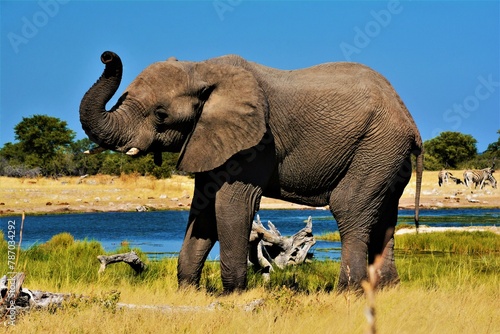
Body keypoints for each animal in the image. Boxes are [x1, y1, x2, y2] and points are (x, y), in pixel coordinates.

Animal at [79, 51, 422, 292]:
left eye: (161, 115)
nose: (107, 55)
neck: (202, 69)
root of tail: (410, 120)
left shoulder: (256, 143)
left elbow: (232, 206)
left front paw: (234, 295)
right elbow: (203, 210)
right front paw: (188, 292)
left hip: (377, 146)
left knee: (350, 210)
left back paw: (347, 293)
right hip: (387, 156)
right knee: (384, 217)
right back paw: (388, 290)